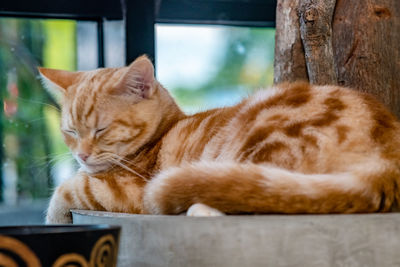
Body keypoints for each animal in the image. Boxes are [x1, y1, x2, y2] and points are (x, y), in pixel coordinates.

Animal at [39, 55, 400, 224]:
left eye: (101, 129)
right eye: (70, 132)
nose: (82, 156)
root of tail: (387, 159)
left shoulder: (128, 191)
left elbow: (69, 187)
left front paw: (55, 216)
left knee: (259, 196)